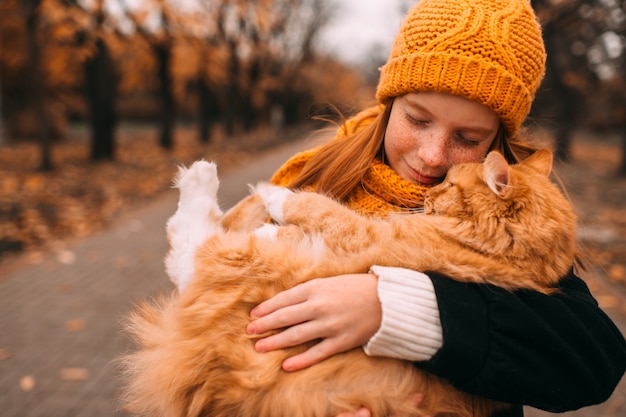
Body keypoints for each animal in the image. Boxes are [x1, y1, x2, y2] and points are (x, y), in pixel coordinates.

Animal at [118, 149, 576, 416]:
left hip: (238, 271)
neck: (512, 254)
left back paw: (208, 180)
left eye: (447, 184)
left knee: (189, 244)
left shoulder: (361, 233)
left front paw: (277, 194)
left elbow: (314, 206)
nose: (427, 196)